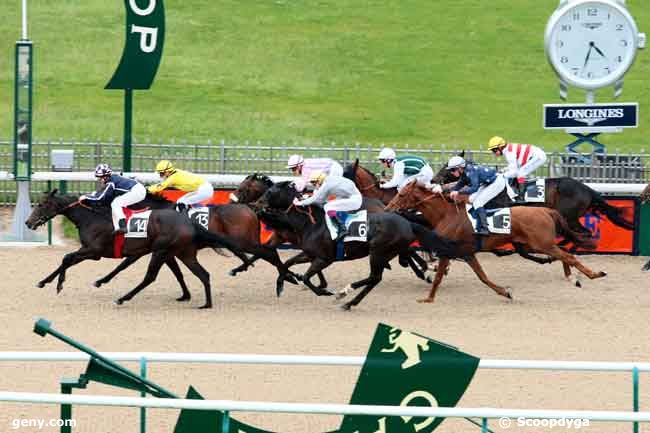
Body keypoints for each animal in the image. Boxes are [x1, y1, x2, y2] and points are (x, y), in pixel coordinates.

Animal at [26, 190, 294, 308]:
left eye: (42, 204)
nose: (29, 222)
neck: (93, 217)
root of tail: (250, 209)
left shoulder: (95, 251)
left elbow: (68, 257)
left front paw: (59, 284)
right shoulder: (150, 251)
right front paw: (45, 281)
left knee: (268, 253)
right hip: (184, 251)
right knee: (206, 272)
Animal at [251, 181, 458, 308]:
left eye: (270, 191)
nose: (256, 205)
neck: (311, 223)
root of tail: (407, 223)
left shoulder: (324, 258)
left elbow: (307, 278)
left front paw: (323, 291)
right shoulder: (309, 254)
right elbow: (287, 264)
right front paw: (281, 284)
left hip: (378, 252)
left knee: (375, 277)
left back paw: (345, 296)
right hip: (383, 253)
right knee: (376, 277)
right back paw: (348, 299)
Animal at [382, 181, 604, 302]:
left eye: (401, 194)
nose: (387, 209)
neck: (446, 214)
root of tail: (545, 210)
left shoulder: (448, 251)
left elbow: (438, 278)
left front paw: (428, 297)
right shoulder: (465, 252)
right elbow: (482, 276)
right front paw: (505, 292)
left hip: (542, 244)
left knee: (568, 255)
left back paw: (593, 274)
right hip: (537, 244)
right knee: (565, 254)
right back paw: (575, 277)